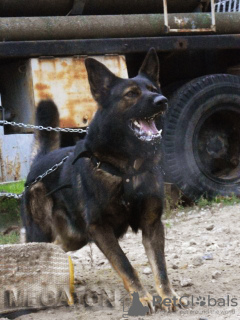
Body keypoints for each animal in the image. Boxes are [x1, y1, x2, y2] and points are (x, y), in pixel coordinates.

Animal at [21, 48, 183, 312]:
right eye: (131, 94)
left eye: (153, 89)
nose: (162, 101)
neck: (127, 169)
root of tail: (40, 162)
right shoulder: (100, 229)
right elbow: (125, 265)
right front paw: (142, 297)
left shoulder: (152, 225)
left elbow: (161, 266)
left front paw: (167, 295)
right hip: (45, 232)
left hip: (74, 236)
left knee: (57, 247)